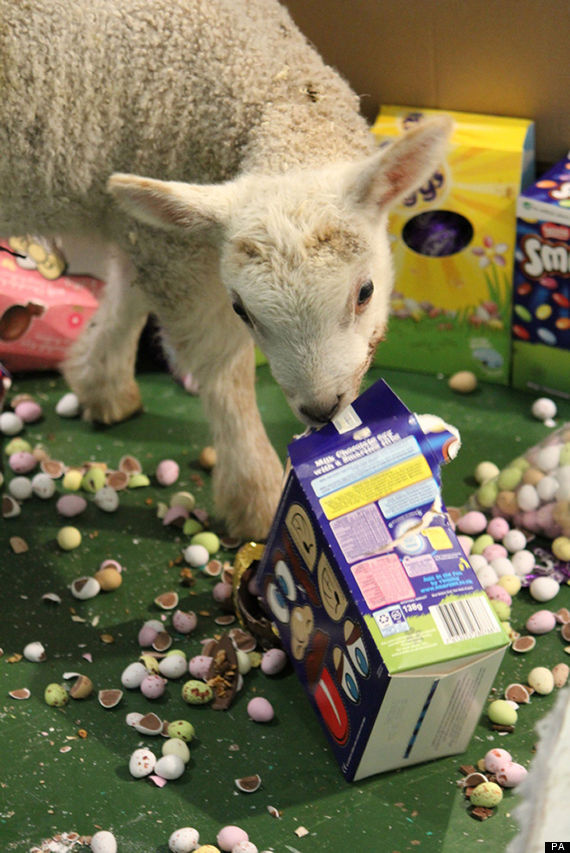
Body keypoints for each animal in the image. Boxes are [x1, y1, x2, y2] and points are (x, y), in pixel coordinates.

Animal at [0, 0, 451, 539]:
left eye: (365, 291)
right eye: (241, 310)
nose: (320, 409)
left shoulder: (146, 230)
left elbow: (130, 292)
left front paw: (100, 382)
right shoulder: (174, 253)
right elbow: (223, 368)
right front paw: (259, 496)